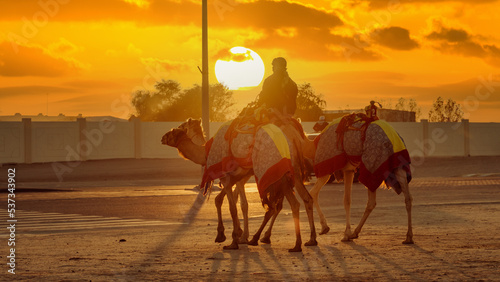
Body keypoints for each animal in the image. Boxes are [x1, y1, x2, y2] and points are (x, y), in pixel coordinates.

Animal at [162, 122, 314, 252]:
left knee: (288, 204)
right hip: (291, 174)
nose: (162, 138)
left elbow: (233, 207)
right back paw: (307, 241)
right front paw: (232, 235)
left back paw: (290, 243)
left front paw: (233, 240)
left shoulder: (229, 177)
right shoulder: (236, 178)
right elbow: (226, 201)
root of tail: (293, 139)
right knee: (302, 200)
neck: (206, 151)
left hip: (279, 174)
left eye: (173, 131)